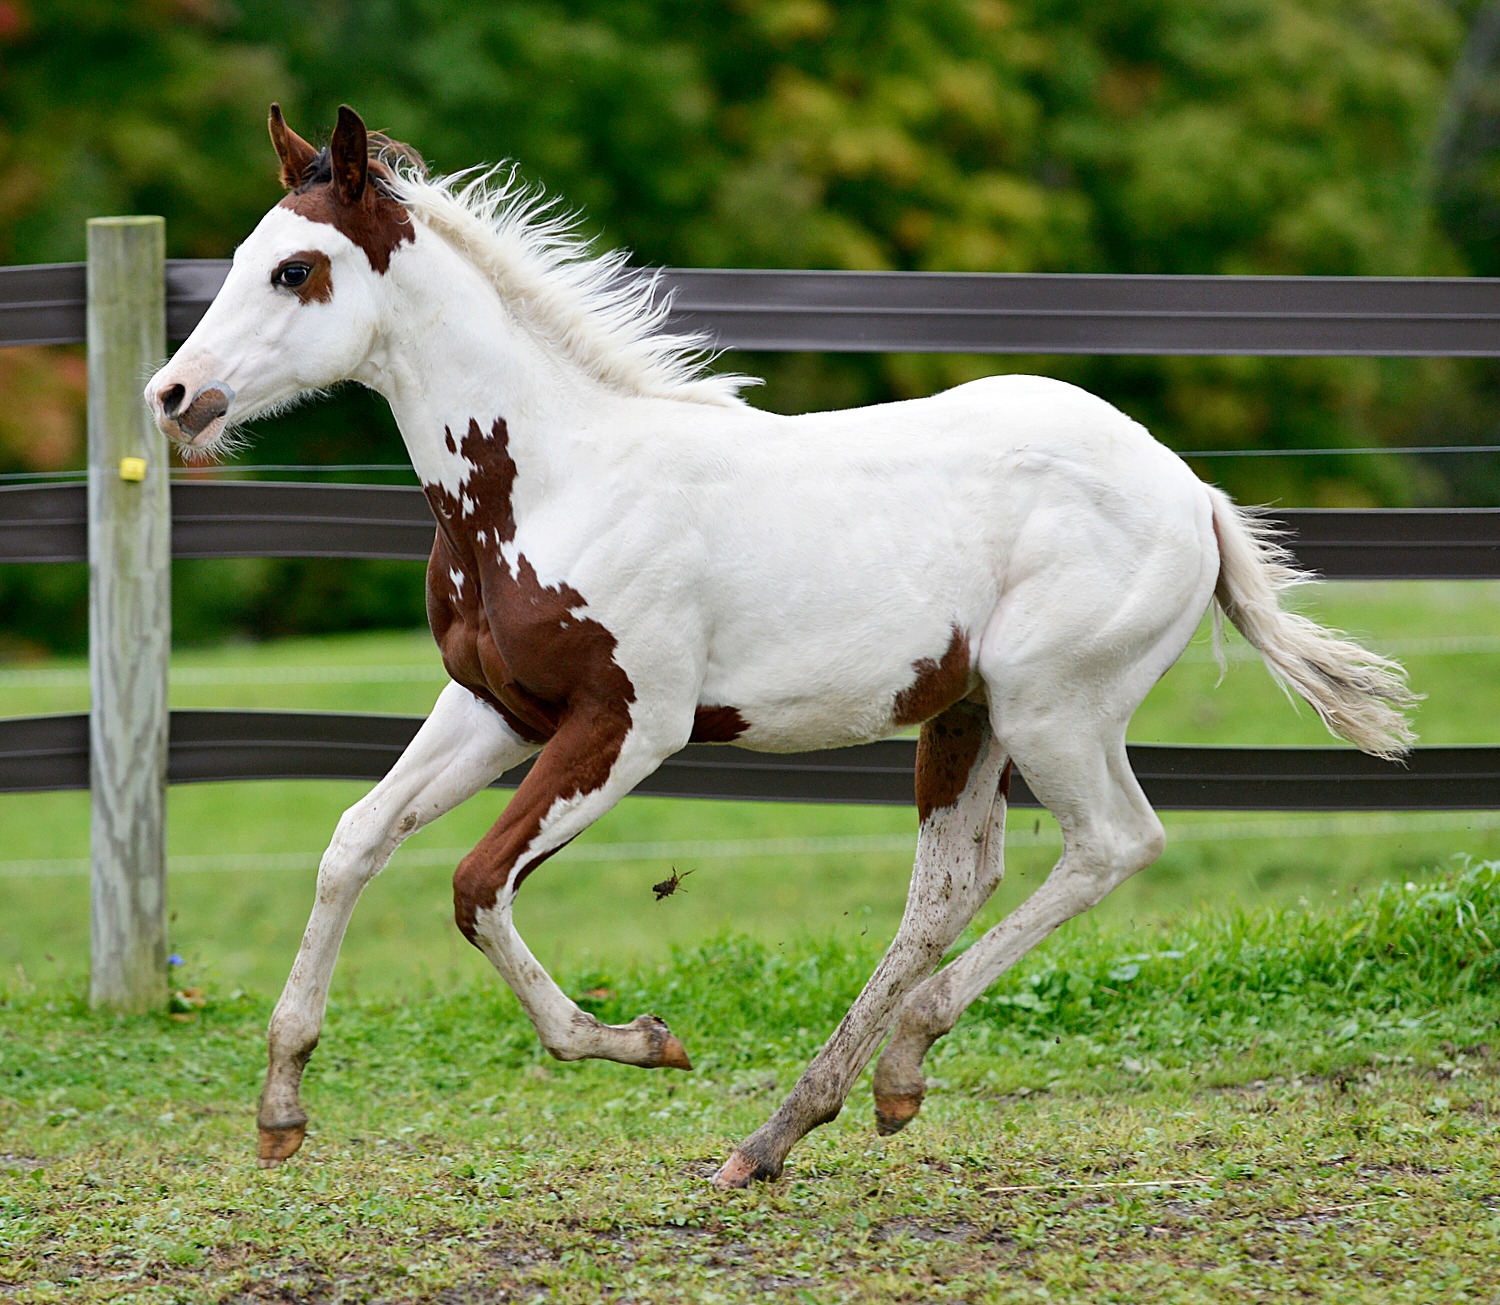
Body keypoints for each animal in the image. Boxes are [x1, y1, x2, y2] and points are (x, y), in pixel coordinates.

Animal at [146, 105, 1410, 1188]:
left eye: (297, 270)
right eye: (245, 257)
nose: (172, 395)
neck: (552, 481)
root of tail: (1192, 491)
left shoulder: (629, 726)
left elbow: (473, 884)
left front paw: (641, 1041)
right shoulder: (494, 709)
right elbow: (353, 842)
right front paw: (280, 1108)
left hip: (1056, 708)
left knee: (1113, 844)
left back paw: (892, 1058)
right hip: (968, 716)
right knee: (953, 884)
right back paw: (796, 1125)